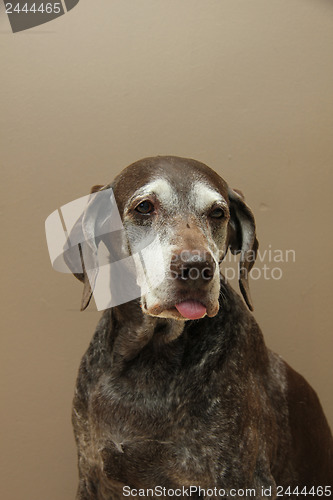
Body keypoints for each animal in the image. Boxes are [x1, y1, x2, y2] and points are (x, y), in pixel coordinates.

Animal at [63, 154, 330, 498]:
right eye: (144, 207)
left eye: (217, 213)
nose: (196, 267)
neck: (150, 358)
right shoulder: (93, 476)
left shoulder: (240, 481)